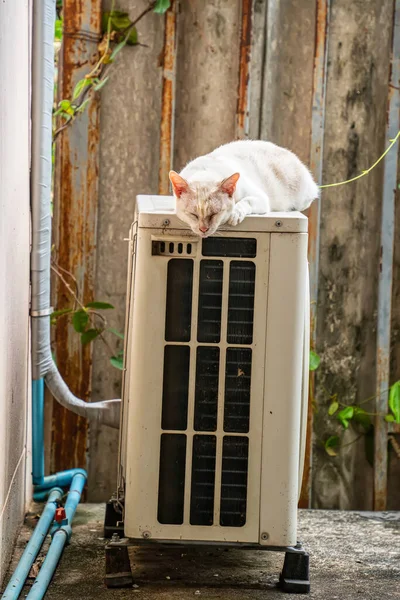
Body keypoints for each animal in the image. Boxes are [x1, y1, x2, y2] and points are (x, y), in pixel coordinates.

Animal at [169, 140, 318, 237]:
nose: (203, 229)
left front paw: (235, 213)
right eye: (193, 214)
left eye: (214, 214)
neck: (206, 172)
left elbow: (245, 201)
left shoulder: (260, 198)